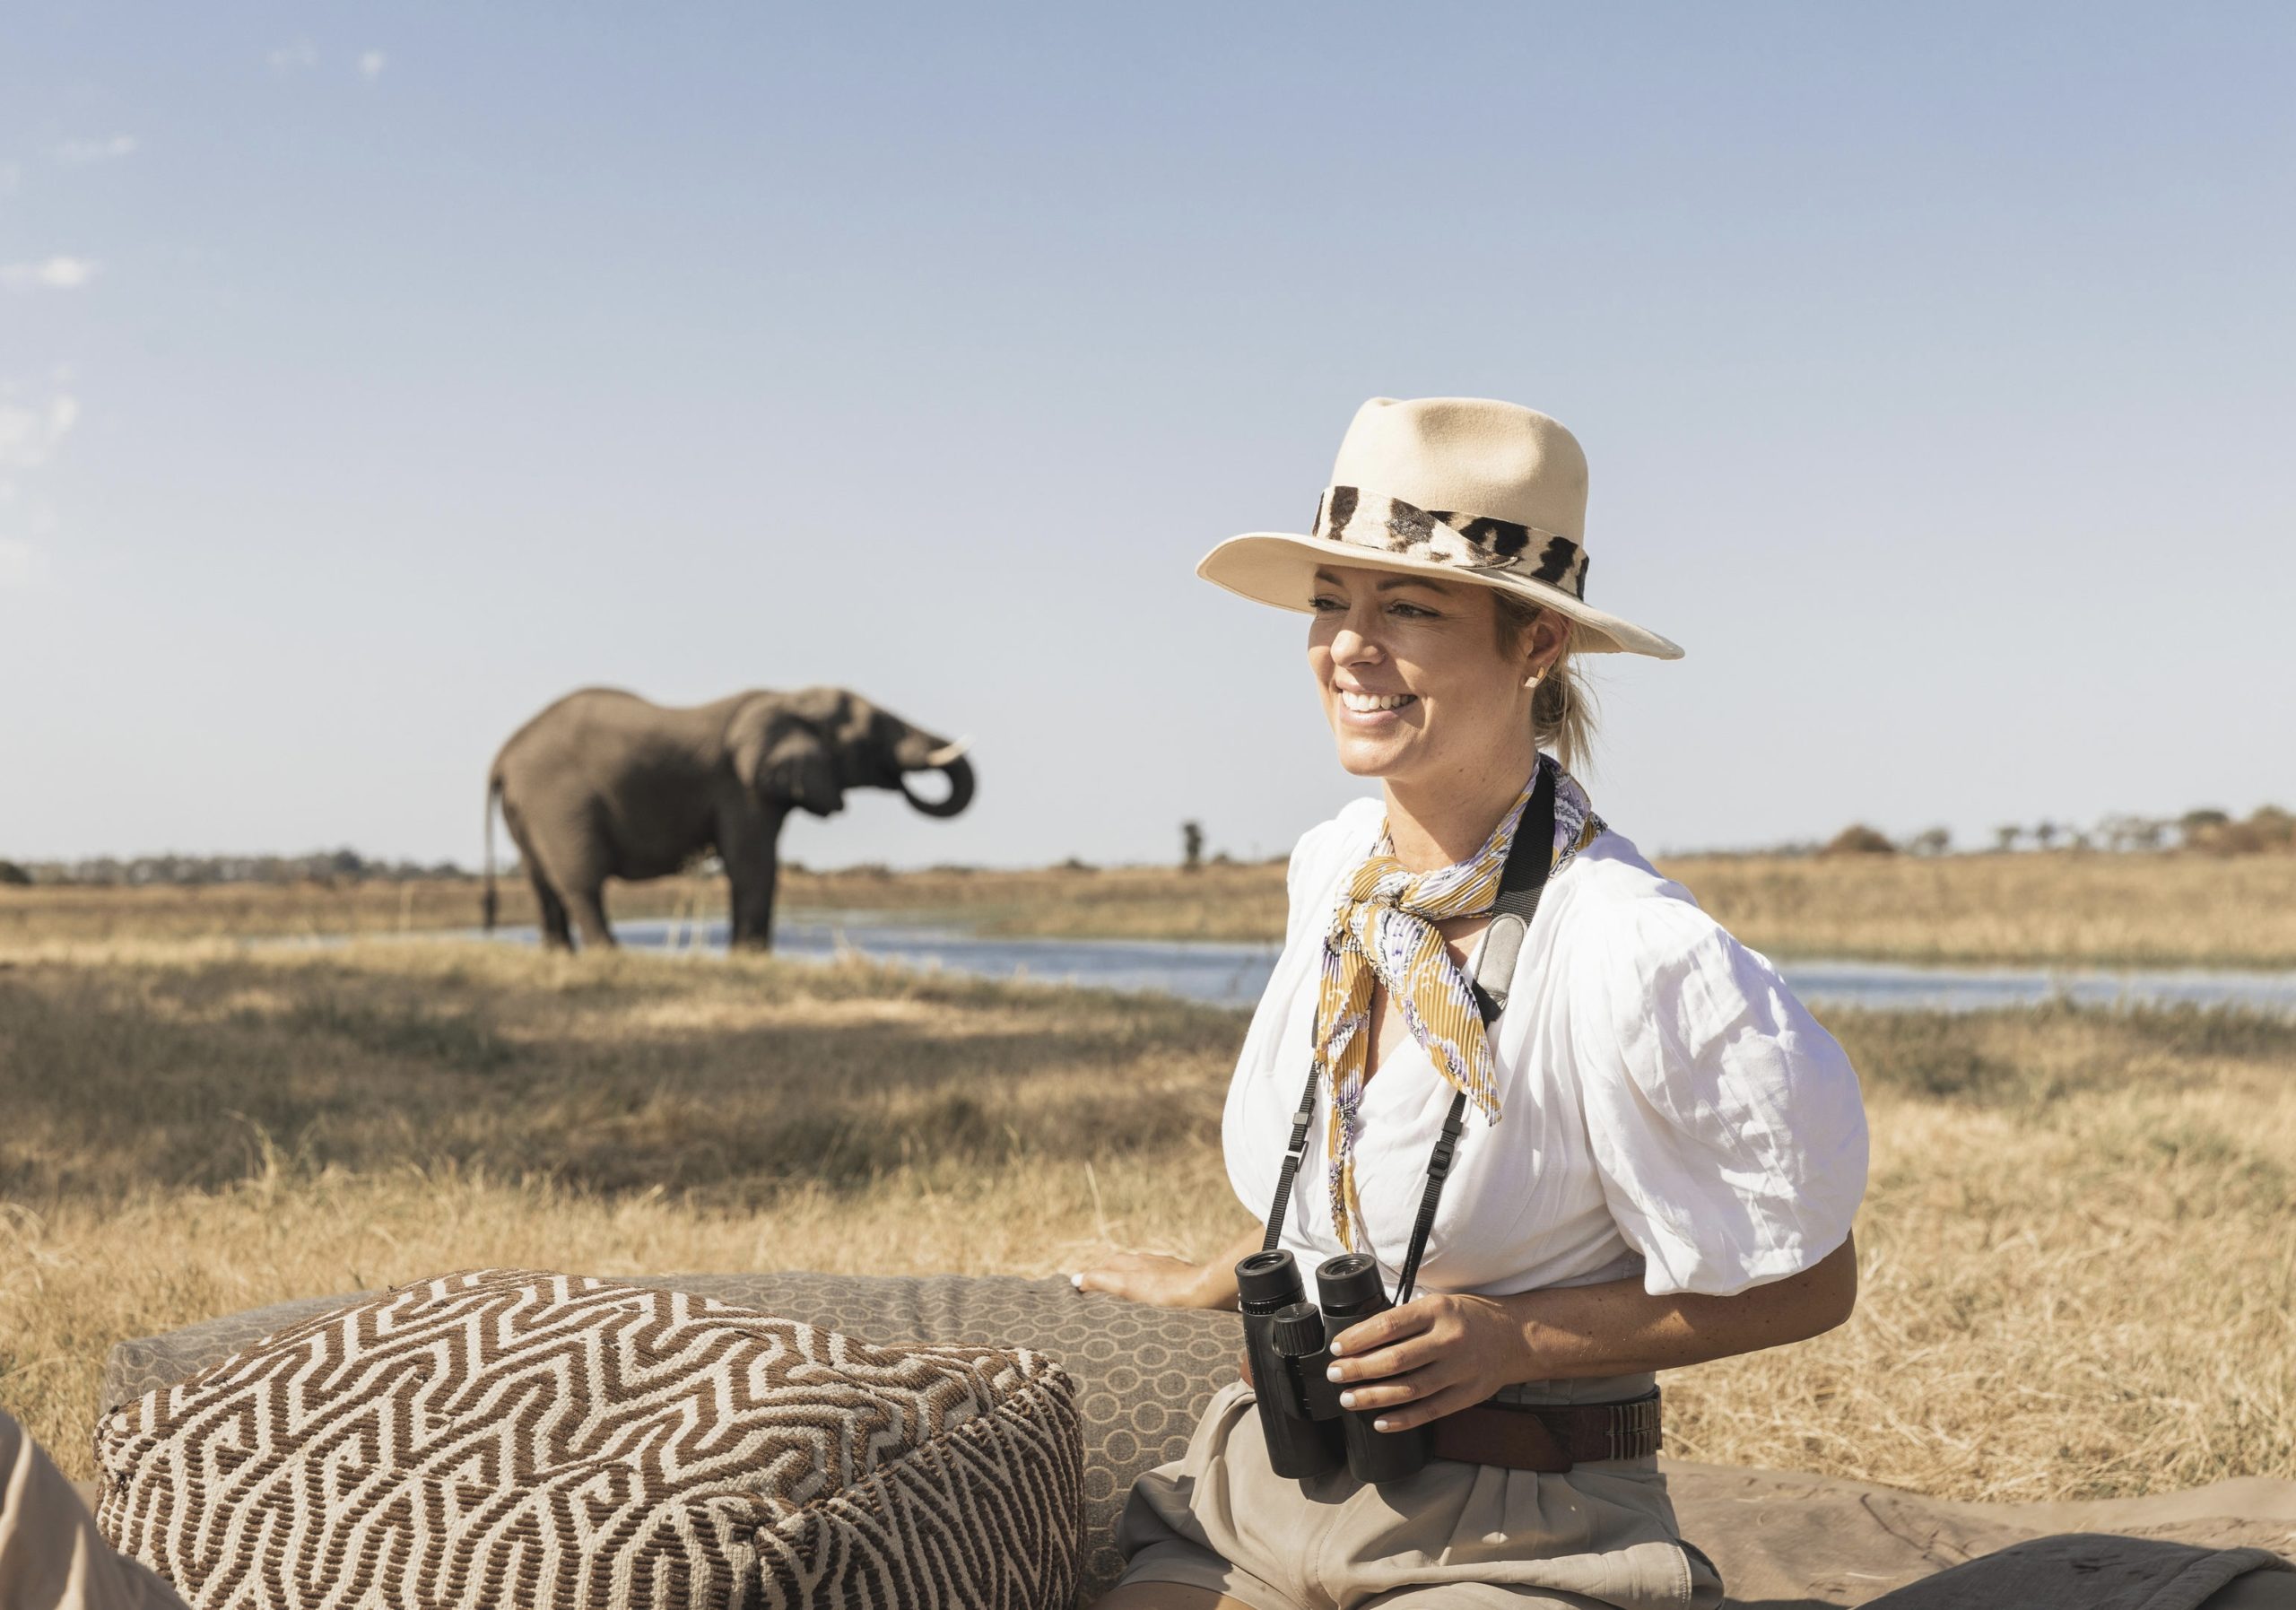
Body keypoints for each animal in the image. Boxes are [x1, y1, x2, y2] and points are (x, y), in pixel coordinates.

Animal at [489, 684, 973, 945]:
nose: (903, 778)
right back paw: (611, 955)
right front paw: (752, 959)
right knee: (580, 882)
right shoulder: (740, 787)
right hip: (557, 798)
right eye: (871, 734)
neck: (786, 699)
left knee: (542, 884)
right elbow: (753, 867)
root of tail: (504, 754)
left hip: (527, 809)